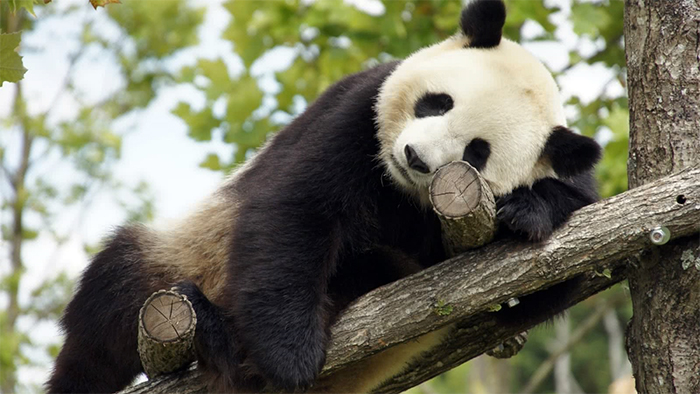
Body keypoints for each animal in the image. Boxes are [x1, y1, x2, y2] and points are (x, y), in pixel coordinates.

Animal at [46, 1, 600, 392]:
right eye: (436, 103)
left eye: (477, 153)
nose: (416, 157)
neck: (400, 192)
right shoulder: (356, 113)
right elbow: (296, 210)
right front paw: (290, 356)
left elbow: (535, 293)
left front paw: (531, 209)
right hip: (178, 258)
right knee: (109, 308)